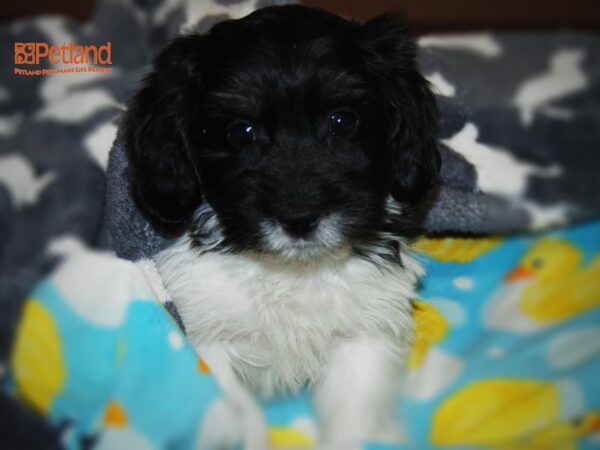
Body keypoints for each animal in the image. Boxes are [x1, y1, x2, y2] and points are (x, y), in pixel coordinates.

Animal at [123, 4, 440, 450]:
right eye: (242, 131)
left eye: (342, 121)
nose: (299, 219)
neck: (292, 272)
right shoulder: (209, 336)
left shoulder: (364, 335)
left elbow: (353, 422)